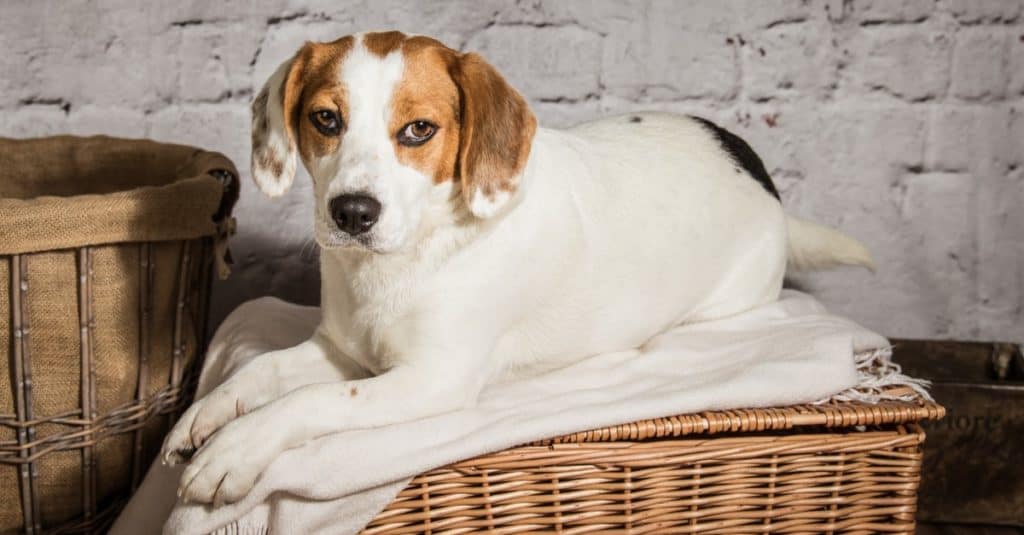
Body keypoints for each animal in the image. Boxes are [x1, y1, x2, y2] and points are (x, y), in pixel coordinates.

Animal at [159, 30, 872, 504]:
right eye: (326, 119)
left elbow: (306, 401)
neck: (403, 262)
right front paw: (207, 415)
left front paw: (235, 449)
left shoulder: (430, 381)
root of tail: (747, 157)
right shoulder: (342, 352)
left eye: (418, 130)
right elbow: (264, 370)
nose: (352, 212)